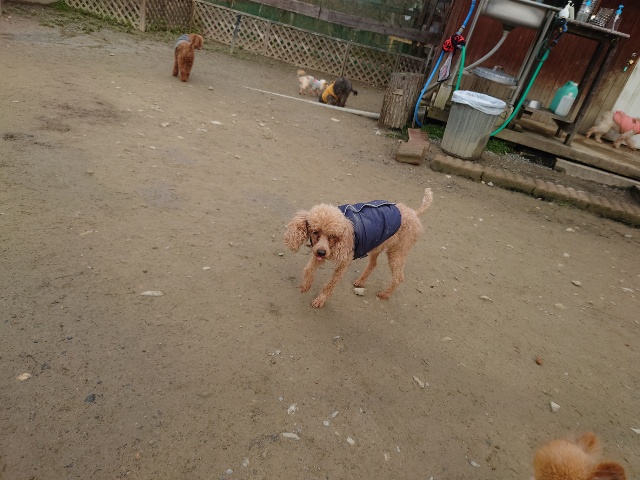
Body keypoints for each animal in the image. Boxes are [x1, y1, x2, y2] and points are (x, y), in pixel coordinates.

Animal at [284, 189, 433, 308]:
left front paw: (320, 300)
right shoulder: (319, 252)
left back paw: (385, 294)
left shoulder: (343, 262)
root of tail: (414, 213)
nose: (321, 252)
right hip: (376, 245)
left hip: (397, 252)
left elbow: (330, 284)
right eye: (315, 232)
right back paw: (361, 281)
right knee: (373, 264)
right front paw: (306, 285)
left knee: (399, 277)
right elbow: (308, 269)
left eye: (333, 236)